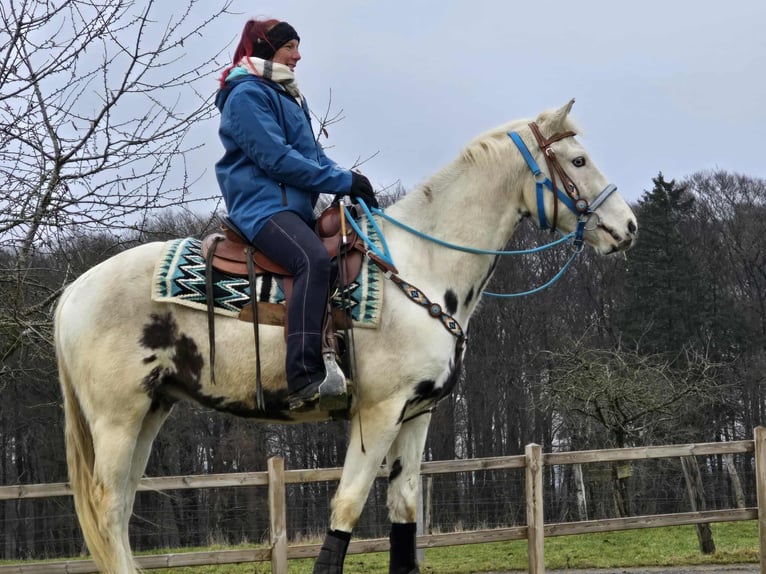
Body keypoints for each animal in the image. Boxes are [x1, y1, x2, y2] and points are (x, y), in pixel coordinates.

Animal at [54, 99, 637, 574]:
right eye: (578, 161)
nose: (627, 226)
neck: (422, 268)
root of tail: (73, 292)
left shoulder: (417, 414)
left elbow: (404, 511)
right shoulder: (376, 413)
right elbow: (348, 507)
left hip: (153, 410)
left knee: (122, 511)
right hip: (118, 418)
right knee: (108, 509)